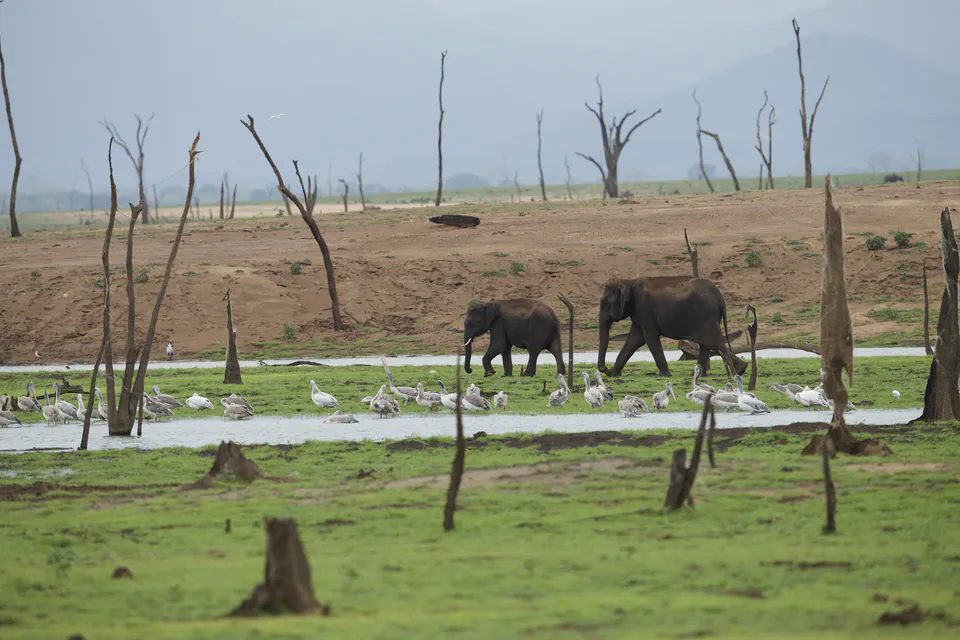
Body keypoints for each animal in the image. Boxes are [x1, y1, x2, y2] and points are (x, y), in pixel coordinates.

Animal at [597, 276, 747, 378]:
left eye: (606, 304)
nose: (605, 369)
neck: (629, 281)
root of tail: (720, 297)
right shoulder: (639, 314)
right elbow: (635, 339)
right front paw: (614, 374)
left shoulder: (644, 311)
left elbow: (649, 338)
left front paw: (664, 375)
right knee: (707, 344)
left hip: (707, 318)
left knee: (713, 342)